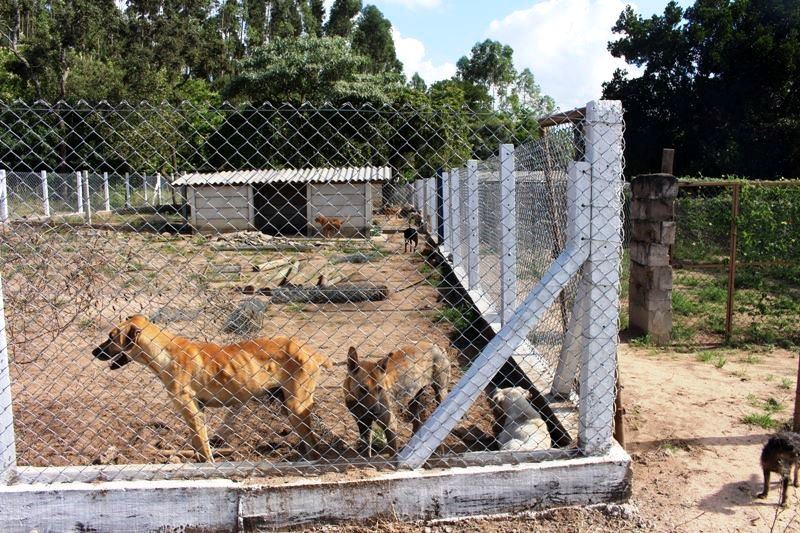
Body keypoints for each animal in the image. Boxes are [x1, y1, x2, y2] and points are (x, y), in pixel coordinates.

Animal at [93, 314, 332, 460]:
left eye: (111, 338)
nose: (93, 351)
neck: (165, 352)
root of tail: (310, 350)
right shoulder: (199, 411)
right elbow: (202, 443)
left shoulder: (191, 411)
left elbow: (201, 444)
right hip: (287, 404)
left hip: (296, 405)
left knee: (312, 443)